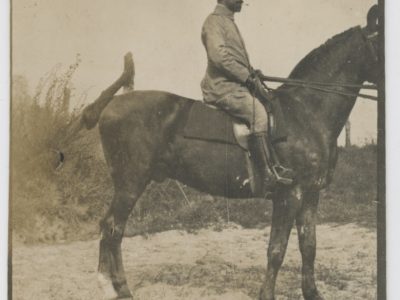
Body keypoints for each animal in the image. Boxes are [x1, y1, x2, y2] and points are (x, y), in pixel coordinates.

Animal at [81, 6, 378, 300]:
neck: (304, 112)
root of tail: (112, 103)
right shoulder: (289, 194)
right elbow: (276, 250)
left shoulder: (311, 193)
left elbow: (309, 246)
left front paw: (312, 293)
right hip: (130, 183)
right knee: (112, 228)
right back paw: (117, 288)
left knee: (110, 228)